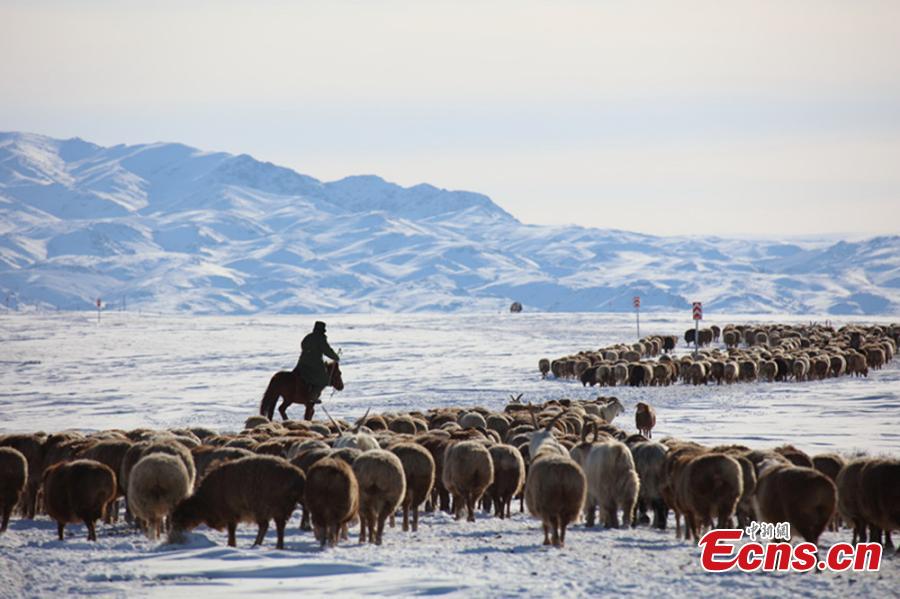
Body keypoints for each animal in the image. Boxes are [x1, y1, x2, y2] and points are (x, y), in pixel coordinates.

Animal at [171, 458, 304, 552]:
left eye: (181, 515)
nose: (175, 533)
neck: (205, 500)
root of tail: (299, 477)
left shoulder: (230, 513)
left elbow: (231, 531)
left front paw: (231, 545)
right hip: (280, 510)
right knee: (279, 527)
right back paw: (277, 546)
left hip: (266, 507)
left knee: (265, 526)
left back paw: (257, 545)